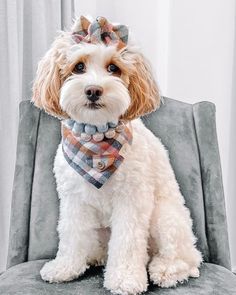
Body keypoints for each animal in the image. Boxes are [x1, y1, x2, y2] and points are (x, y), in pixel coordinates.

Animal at [30, 16, 201, 295]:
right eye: (78, 66)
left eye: (113, 68)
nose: (93, 90)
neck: (95, 144)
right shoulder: (74, 200)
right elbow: (71, 235)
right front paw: (65, 267)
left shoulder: (132, 201)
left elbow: (128, 243)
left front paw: (125, 279)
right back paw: (95, 257)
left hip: (165, 218)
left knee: (186, 258)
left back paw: (165, 270)